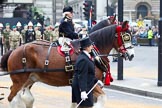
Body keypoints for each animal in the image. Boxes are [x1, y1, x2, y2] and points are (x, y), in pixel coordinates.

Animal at [0, 20, 134, 107]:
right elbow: (101, 99)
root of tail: (15, 50)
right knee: (12, 97)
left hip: (30, 79)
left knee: (25, 98)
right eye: (126, 36)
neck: (92, 52)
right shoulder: (89, 82)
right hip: (19, 80)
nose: (132, 55)